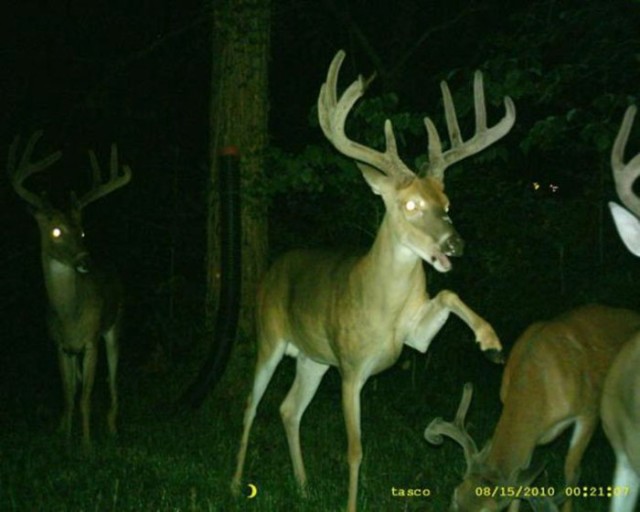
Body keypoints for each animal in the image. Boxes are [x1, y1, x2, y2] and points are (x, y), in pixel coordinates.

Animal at [7, 132, 131, 452]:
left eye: (83, 231)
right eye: (56, 231)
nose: (85, 261)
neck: (70, 315)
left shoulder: (91, 341)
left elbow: (86, 397)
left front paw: (86, 446)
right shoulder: (60, 345)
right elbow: (68, 395)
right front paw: (64, 439)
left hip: (115, 325)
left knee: (114, 380)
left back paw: (112, 428)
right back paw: (64, 426)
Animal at [232, 49, 516, 512]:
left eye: (447, 202)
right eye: (410, 204)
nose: (455, 244)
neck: (382, 305)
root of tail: (272, 268)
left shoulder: (414, 338)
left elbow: (449, 292)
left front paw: (491, 343)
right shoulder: (351, 367)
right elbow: (355, 449)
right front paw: (350, 502)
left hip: (313, 358)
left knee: (289, 409)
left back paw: (303, 485)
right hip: (270, 337)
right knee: (252, 404)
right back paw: (236, 483)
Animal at [422, 302, 640, 510]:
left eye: (487, 511)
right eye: (455, 495)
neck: (537, 381)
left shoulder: (589, 411)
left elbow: (571, 471)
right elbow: (522, 481)